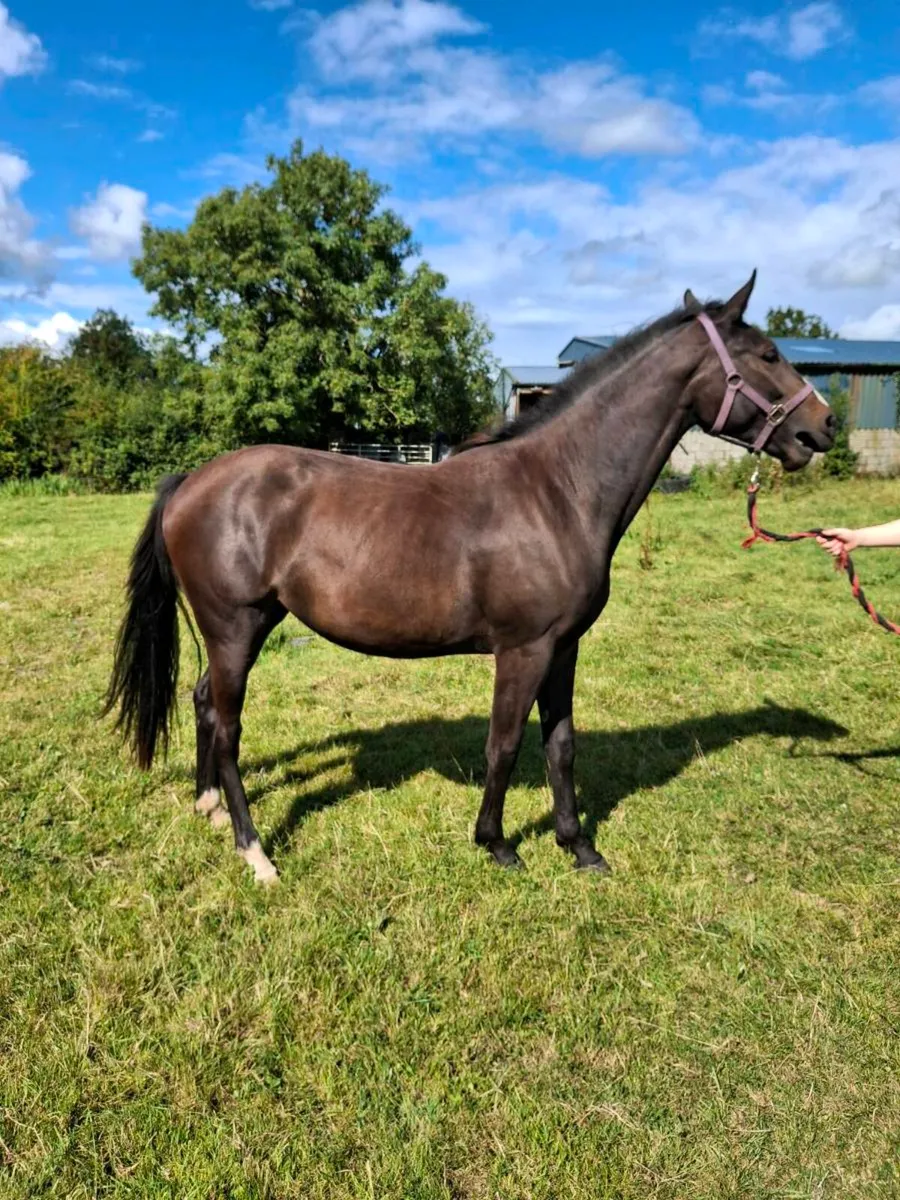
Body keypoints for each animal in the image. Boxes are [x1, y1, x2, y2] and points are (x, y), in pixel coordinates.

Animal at [105, 272, 835, 883]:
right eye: (768, 354)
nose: (822, 427)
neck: (559, 489)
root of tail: (191, 483)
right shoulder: (524, 650)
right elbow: (504, 745)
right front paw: (498, 844)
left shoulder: (563, 649)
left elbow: (561, 746)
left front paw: (579, 848)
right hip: (236, 627)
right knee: (228, 725)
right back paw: (255, 852)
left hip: (244, 629)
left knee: (203, 701)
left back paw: (209, 807)